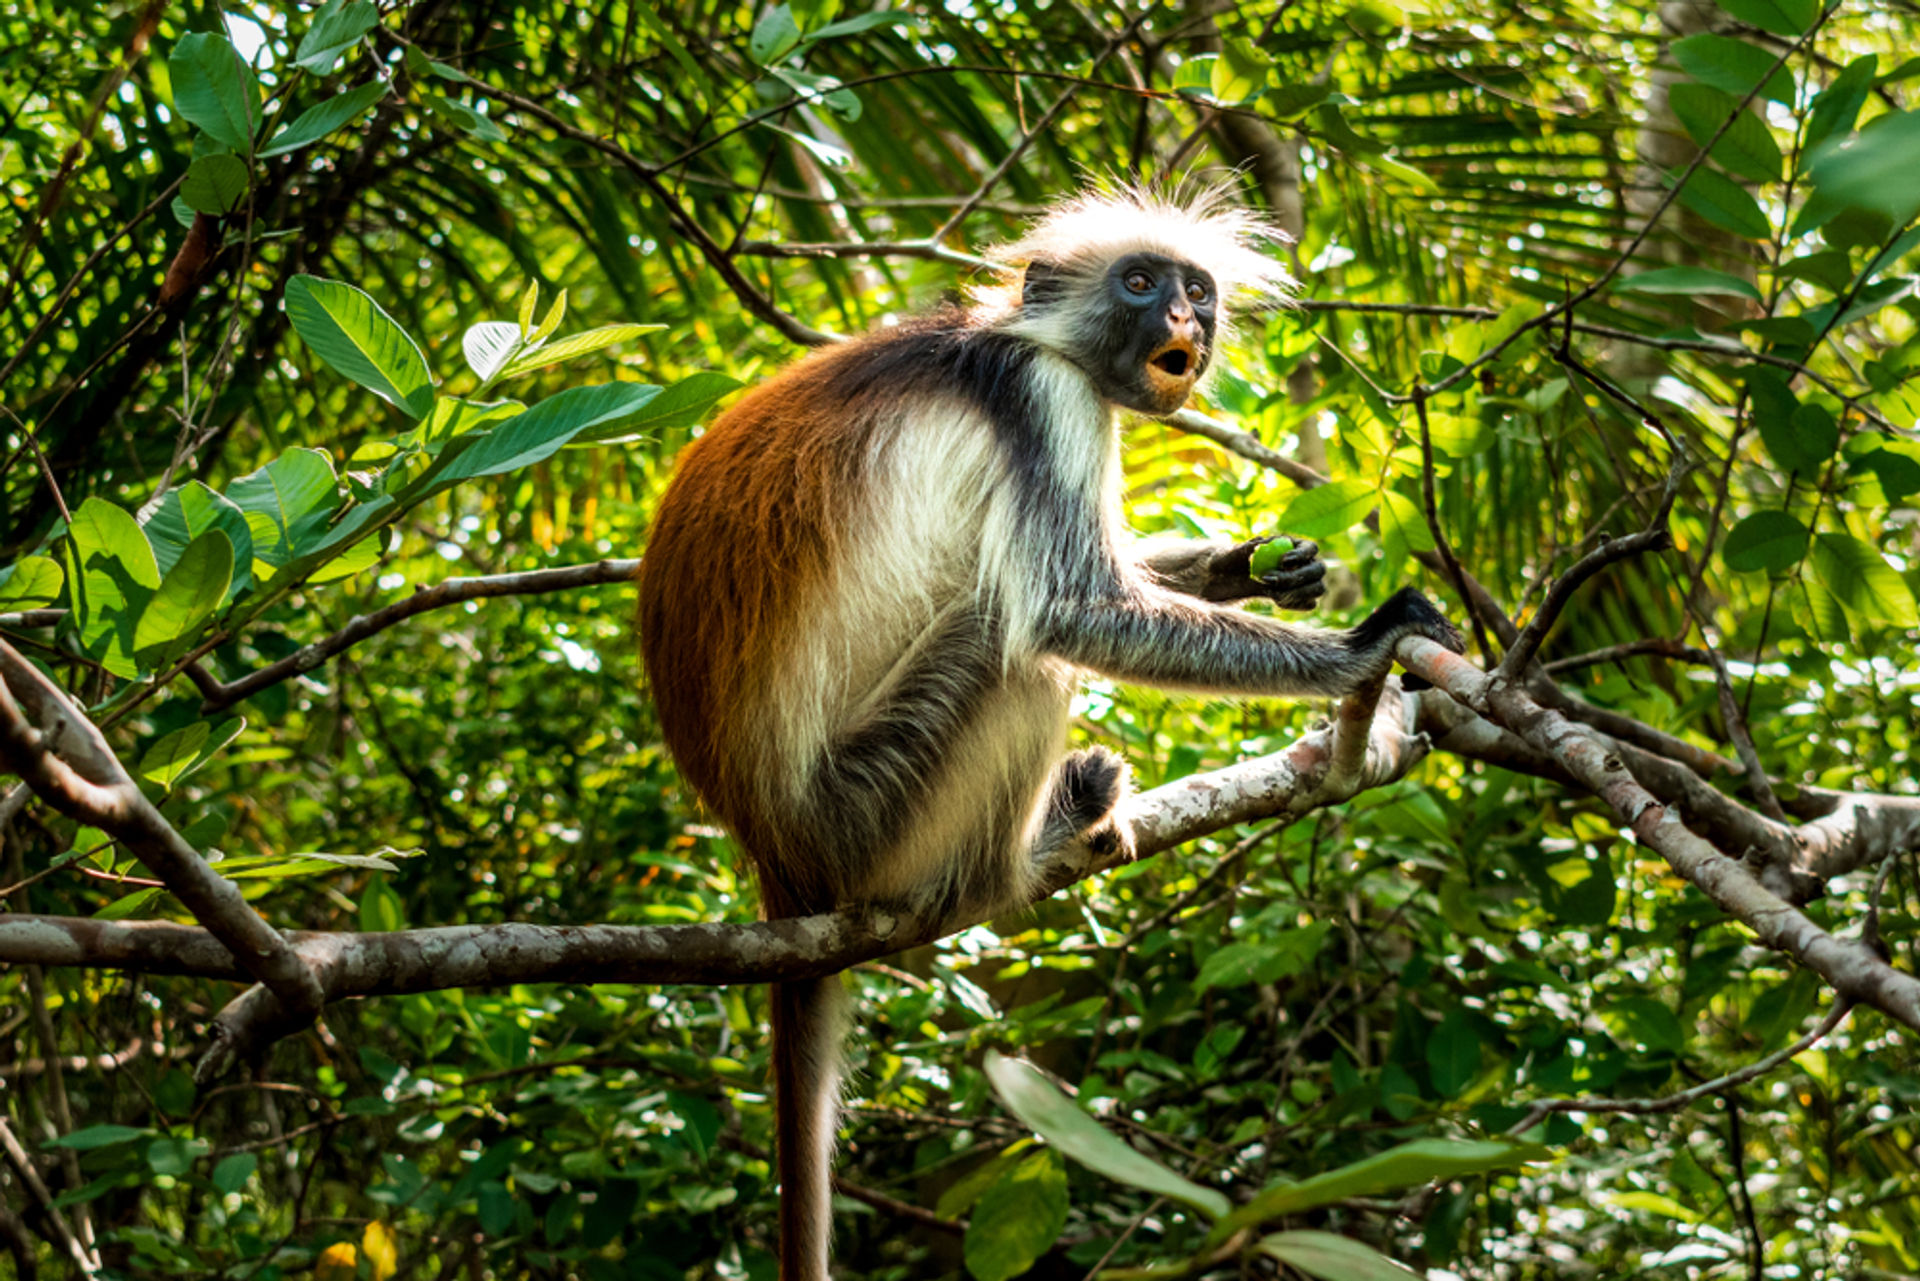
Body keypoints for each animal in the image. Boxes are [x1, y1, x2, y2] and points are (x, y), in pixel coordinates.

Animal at [637, 185, 1459, 1275]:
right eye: (1142, 283)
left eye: (1197, 290)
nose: (1185, 320)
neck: (1014, 337)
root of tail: (775, 851)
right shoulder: (1043, 402)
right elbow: (1070, 610)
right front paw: (1362, 649)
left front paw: (1254, 564)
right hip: (870, 810)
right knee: (1012, 642)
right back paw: (1026, 852)